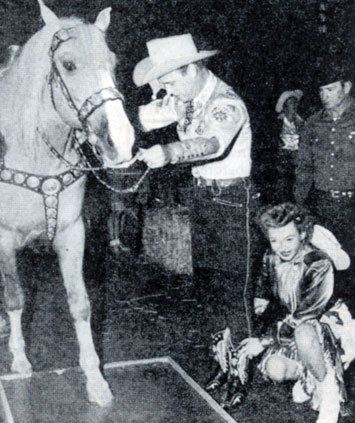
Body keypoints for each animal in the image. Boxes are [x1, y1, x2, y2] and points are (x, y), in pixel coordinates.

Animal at [0, 0, 135, 408]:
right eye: (69, 65)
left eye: (114, 63)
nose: (121, 142)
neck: (32, 152)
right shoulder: (4, 239)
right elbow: (15, 297)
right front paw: (20, 359)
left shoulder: (72, 234)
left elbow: (80, 303)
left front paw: (95, 379)